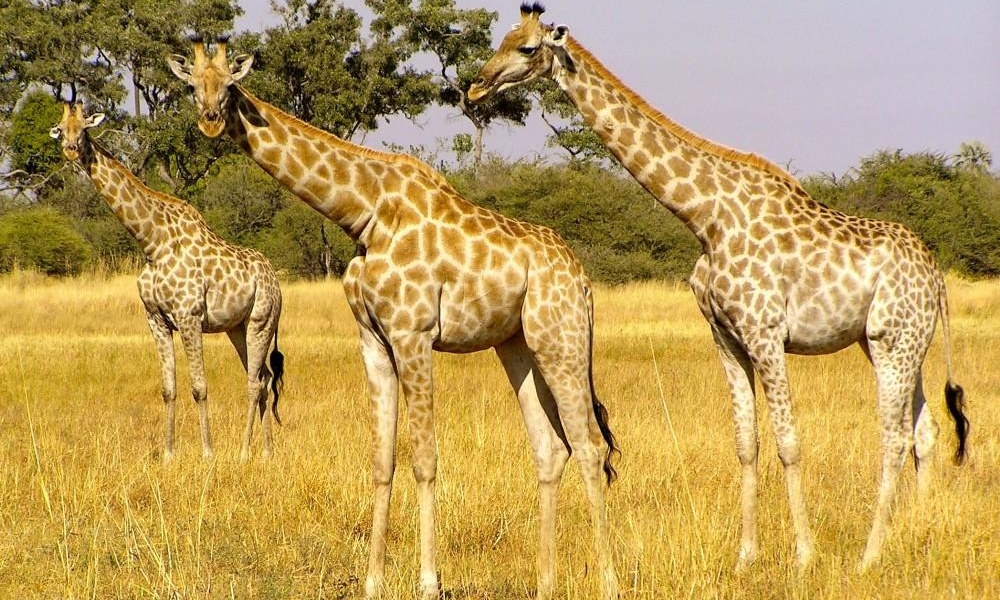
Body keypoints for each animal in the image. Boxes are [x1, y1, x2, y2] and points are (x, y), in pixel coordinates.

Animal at [50, 102, 285, 462]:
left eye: (85, 127)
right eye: (61, 129)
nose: (72, 149)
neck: (152, 243)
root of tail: (276, 281)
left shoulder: (189, 317)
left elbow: (199, 387)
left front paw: (207, 453)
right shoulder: (156, 319)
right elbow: (168, 389)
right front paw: (168, 454)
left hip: (262, 320)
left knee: (254, 382)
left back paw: (245, 452)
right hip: (238, 327)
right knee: (263, 377)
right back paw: (267, 452)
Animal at [167, 37, 620, 600]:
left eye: (230, 85)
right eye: (192, 86)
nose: (209, 119)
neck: (364, 212)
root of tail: (583, 279)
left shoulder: (413, 334)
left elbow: (425, 459)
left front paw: (428, 581)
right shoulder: (373, 340)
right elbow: (383, 459)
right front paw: (373, 580)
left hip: (563, 339)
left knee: (589, 446)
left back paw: (609, 582)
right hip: (519, 345)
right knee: (550, 448)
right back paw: (545, 584)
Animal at [469, 3, 970, 573]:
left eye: (527, 48)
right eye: (501, 38)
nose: (476, 86)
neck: (705, 217)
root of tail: (936, 275)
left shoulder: (766, 333)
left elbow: (788, 442)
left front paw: (804, 556)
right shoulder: (726, 337)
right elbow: (747, 443)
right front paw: (746, 557)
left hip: (893, 343)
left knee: (894, 436)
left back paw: (869, 555)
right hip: (894, 342)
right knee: (924, 431)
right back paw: (920, 534)